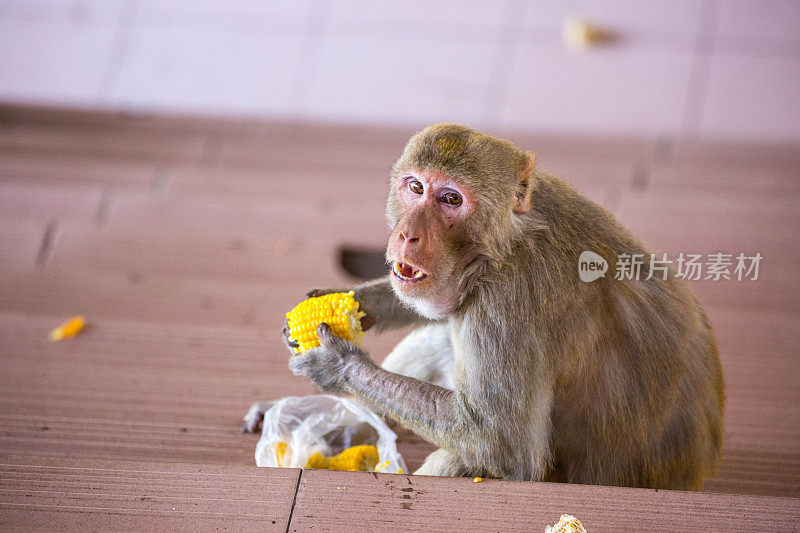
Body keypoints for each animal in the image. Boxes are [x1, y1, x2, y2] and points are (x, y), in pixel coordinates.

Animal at [245, 122, 724, 488]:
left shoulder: (509, 302)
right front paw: (356, 303)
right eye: (415, 187)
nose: (406, 235)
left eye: (451, 199)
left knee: (473, 452)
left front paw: (339, 366)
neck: (506, 243)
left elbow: (503, 446)